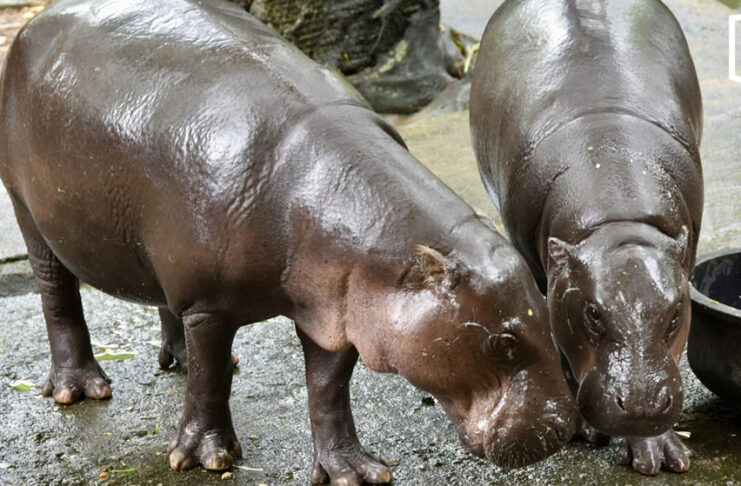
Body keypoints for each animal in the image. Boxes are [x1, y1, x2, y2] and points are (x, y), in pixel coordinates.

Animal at [0, 0, 578, 480]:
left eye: (547, 311)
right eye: (503, 342)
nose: (563, 430)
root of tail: (37, 20)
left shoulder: (336, 309)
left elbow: (328, 390)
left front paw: (353, 471)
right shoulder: (210, 305)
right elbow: (212, 380)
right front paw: (206, 458)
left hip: (156, 255)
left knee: (166, 307)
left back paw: (177, 360)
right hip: (29, 210)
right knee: (58, 295)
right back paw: (81, 390)